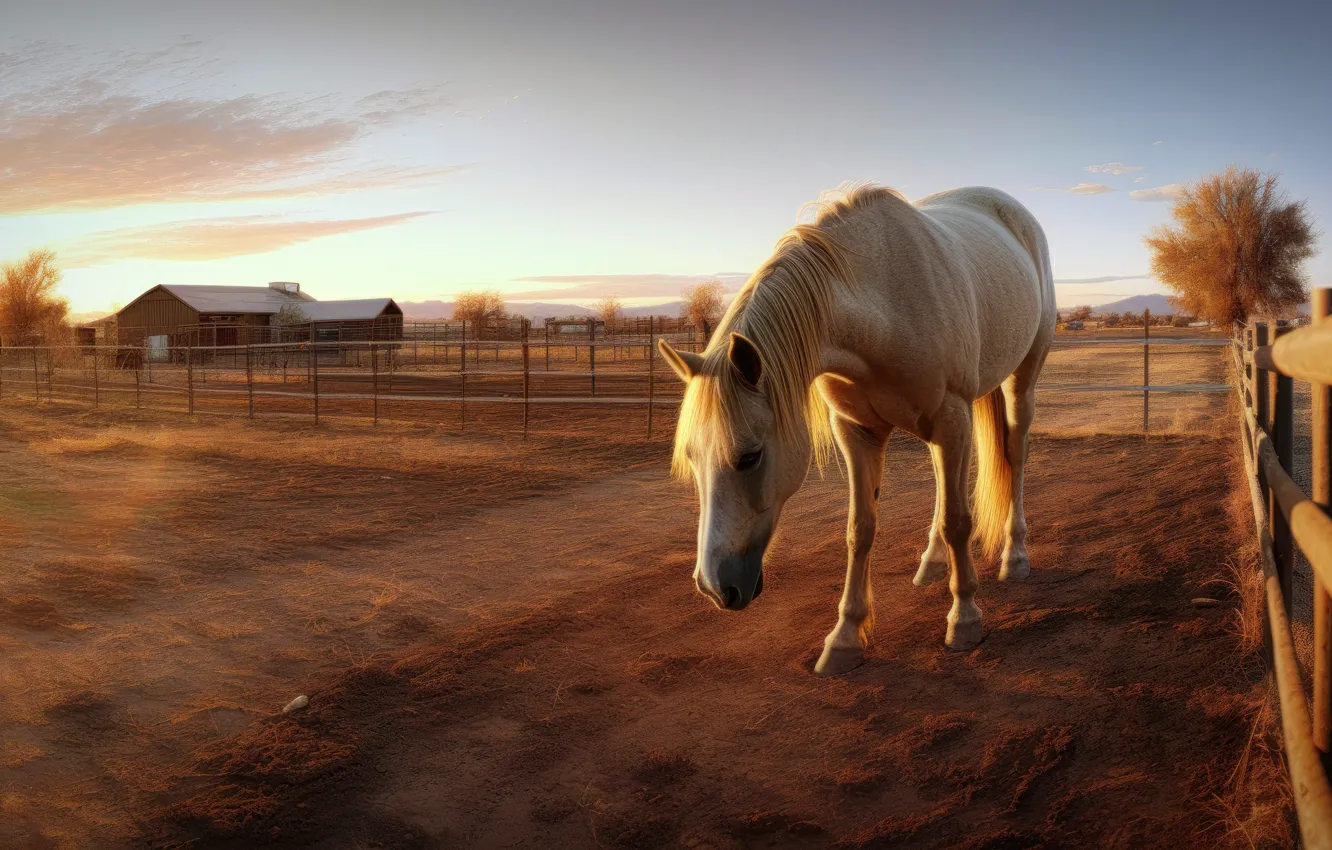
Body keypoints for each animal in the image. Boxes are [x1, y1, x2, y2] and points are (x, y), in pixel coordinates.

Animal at [658, 184, 1055, 676]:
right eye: (692, 458)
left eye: (750, 456)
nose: (715, 588)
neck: (882, 303)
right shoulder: (856, 432)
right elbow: (860, 529)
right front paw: (845, 638)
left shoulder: (951, 416)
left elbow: (958, 521)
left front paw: (964, 619)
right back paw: (931, 562)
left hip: (1021, 379)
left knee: (1014, 455)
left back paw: (1014, 556)